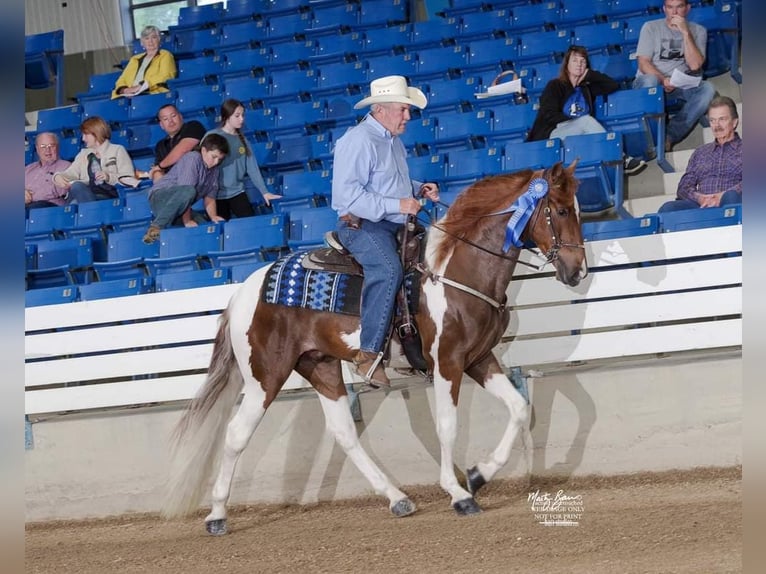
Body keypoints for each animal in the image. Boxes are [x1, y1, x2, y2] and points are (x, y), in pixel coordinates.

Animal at [164, 161, 588, 536]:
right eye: (561, 210)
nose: (578, 271)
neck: (454, 270)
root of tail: (243, 292)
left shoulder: (479, 359)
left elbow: (519, 408)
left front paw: (479, 475)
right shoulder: (447, 363)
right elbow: (447, 426)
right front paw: (458, 493)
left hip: (320, 366)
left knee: (343, 433)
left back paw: (397, 497)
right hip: (265, 377)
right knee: (237, 434)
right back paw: (217, 515)